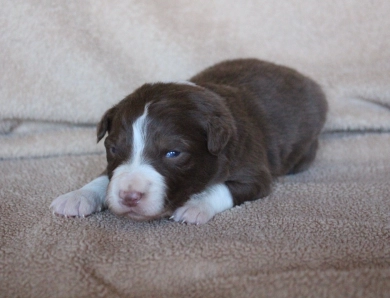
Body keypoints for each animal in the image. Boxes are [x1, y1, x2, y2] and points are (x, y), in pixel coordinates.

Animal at [50, 58, 328, 224]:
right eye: (113, 149)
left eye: (173, 153)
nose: (130, 196)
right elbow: (105, 176)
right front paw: (78, 195)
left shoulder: (254, 172)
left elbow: (222, 188)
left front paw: (196, 205)